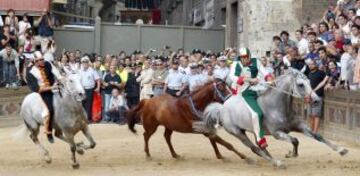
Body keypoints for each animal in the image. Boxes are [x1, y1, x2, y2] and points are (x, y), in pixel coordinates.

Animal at [200, 68, 348, 168]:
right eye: (300, 84)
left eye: (309, 81)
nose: (316, 100)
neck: (277, 107)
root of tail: (221, 108)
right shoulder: (277, 133)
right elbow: (295, 140)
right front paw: (291, 154)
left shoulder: (300, 126)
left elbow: (318, 136)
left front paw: (341, 150)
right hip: (237, 132)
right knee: (255, 149)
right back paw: (277, 162)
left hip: (253, 132)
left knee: (261, 146)